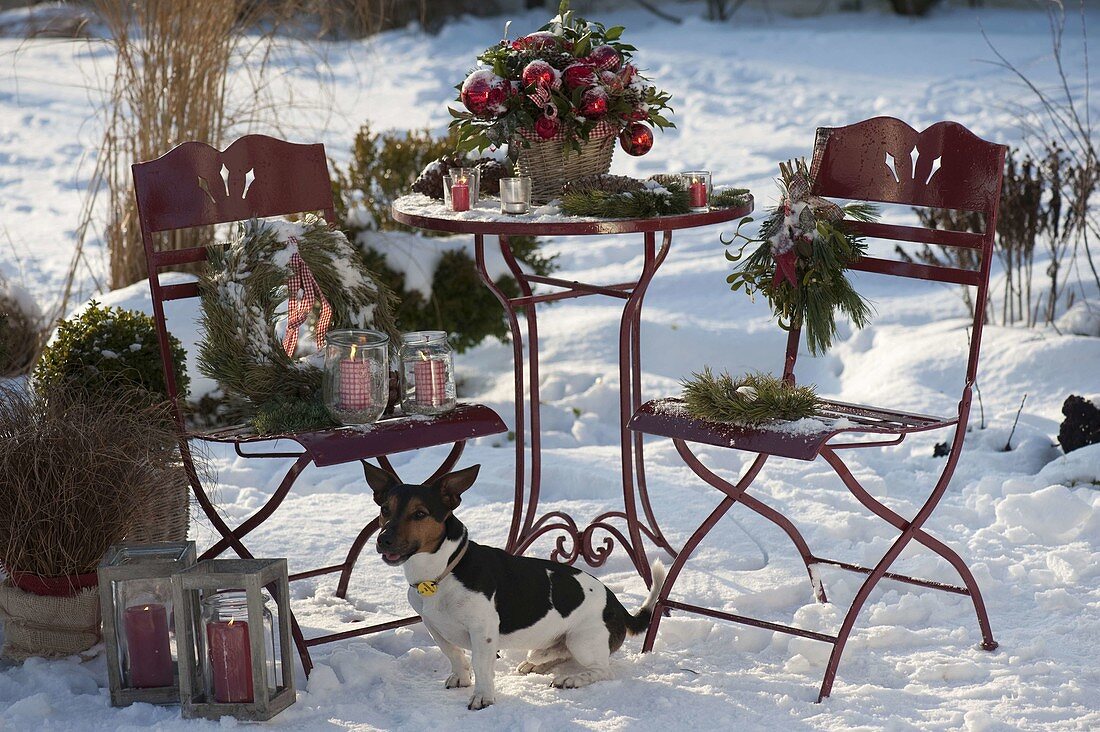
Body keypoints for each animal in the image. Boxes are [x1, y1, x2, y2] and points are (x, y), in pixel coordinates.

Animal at [365, 462, 664, 708]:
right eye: (384, 510)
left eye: (419, 514)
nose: (383, 540)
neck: (442, 572)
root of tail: (619, 607)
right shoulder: (434, 626)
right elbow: (453, 654)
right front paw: (461, 678)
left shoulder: (483, 632)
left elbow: (481, 665)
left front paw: (483, 697)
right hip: (557, 644)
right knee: (558, 655)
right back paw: (536, 664)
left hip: (582, 640)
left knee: (602, 670)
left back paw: (573, 679)